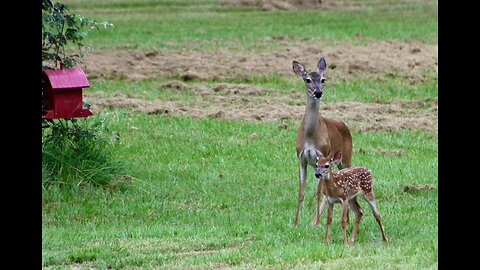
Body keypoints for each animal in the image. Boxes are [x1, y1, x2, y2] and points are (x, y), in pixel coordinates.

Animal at [290, 57, 354, 228]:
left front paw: (319, 222)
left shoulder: (323, 154)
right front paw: (296, 222)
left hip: (346, 157)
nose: (318, 92)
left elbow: (318, 192)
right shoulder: (302, 158)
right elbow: (301, 191)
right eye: (307, 79)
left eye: (323, 79)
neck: (310, 136)